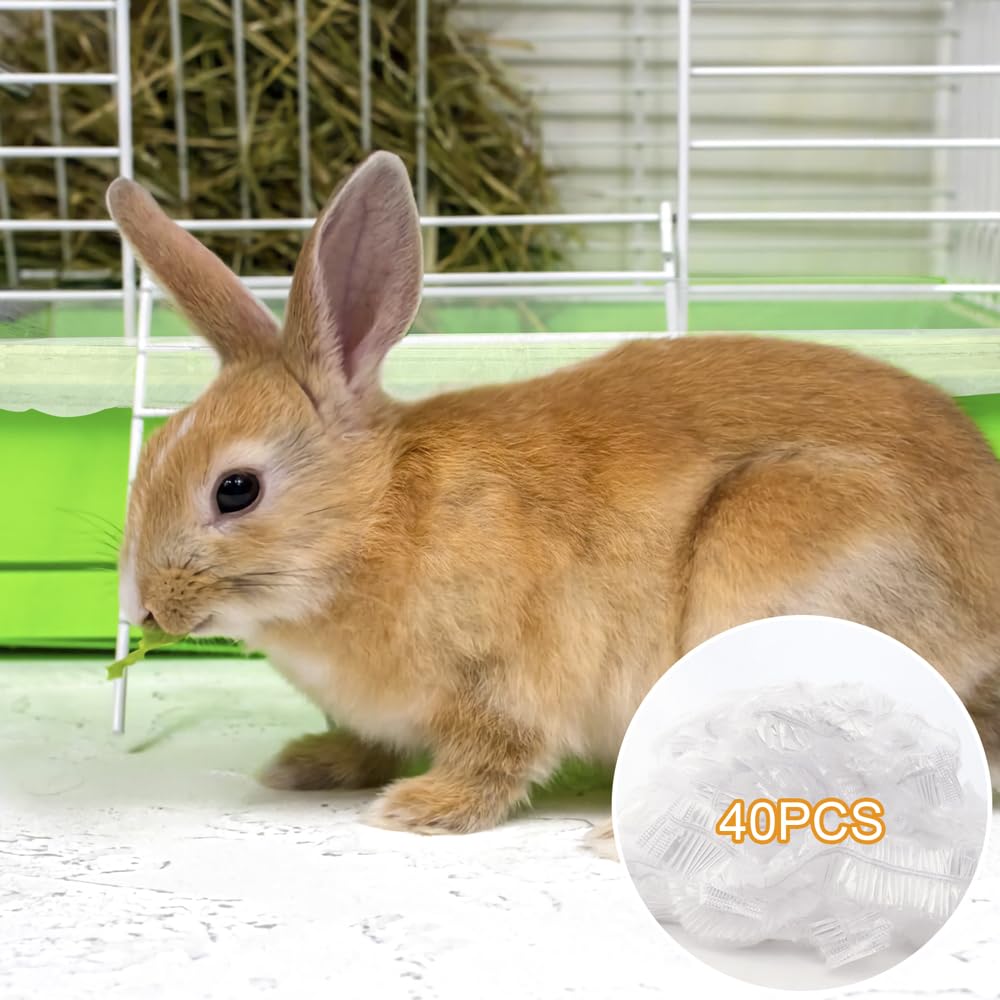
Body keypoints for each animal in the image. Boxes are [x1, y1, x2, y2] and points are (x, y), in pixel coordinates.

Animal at [106, 151, 1000, 846]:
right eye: (148, 454)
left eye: (236, 490)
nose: (143, 609)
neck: (379, 516)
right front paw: (308, 765)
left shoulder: (505, 682)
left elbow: (499, 757)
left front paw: (419, 809)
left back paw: (624, 832)